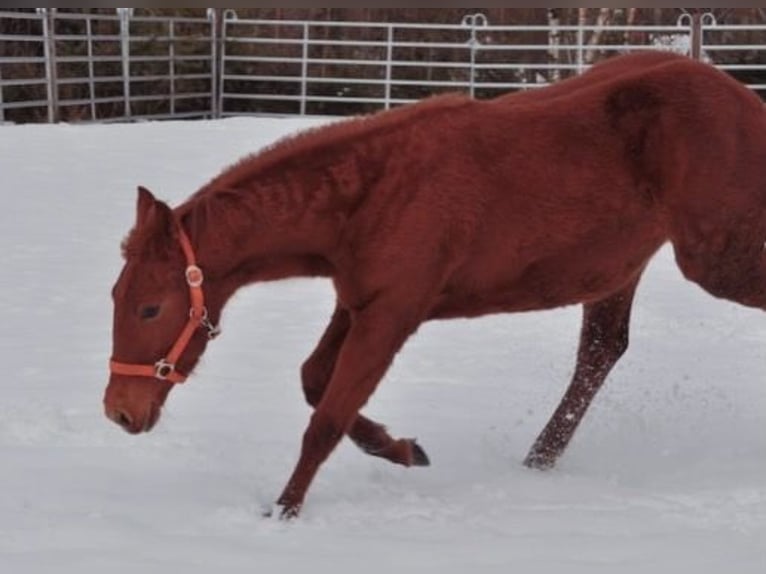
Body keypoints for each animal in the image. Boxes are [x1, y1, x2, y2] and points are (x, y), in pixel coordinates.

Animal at [105, 52, 766, 518]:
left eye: (150, 308)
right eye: (117, 298)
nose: (119, 414)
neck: (371, 193)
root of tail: (744, 103)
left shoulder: (392, 313)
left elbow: (327, 419)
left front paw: (283, 512)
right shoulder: (357, 303)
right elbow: (315, 382)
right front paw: (403, 450)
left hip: (715, 258)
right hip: (618, 268)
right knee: (600, 354)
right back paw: (536, 462)